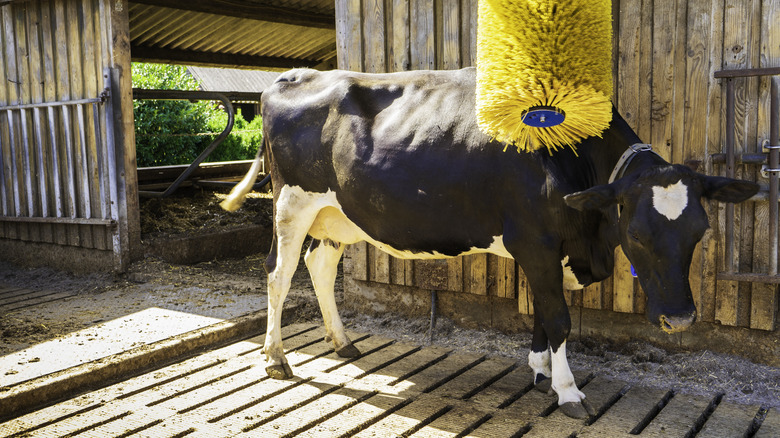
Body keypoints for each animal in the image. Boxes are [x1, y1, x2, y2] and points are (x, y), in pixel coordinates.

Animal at [222, 66, 760, 420]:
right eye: (639, 233)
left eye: (700, 230)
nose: (681, 318)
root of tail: (293, 76)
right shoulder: (534, 240)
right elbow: (559, 317)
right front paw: (568, 392)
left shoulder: (548, 249)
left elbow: (544, 312)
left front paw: (540, 371)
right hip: (291, 203)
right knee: (278, 273)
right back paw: (276, 358)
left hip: (338, 215)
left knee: (320, 266)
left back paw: (342, 340)